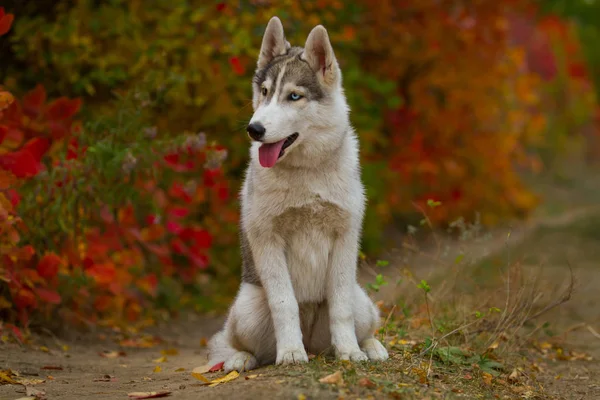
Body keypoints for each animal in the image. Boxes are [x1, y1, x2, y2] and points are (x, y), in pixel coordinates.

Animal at [207, 15, 390, 372]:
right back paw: (242, 358)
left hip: (361, 300)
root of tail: (314, 345)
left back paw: (370, 348)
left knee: (363, 324)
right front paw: (290, 352)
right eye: (265, 92)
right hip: (246, 310)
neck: (306, 172)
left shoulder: (344, 237)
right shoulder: (267, 239)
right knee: (238, 345)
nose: (254, 129)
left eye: (294, 96)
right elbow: (284, 304)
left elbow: (341, 309)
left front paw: (351, 352)